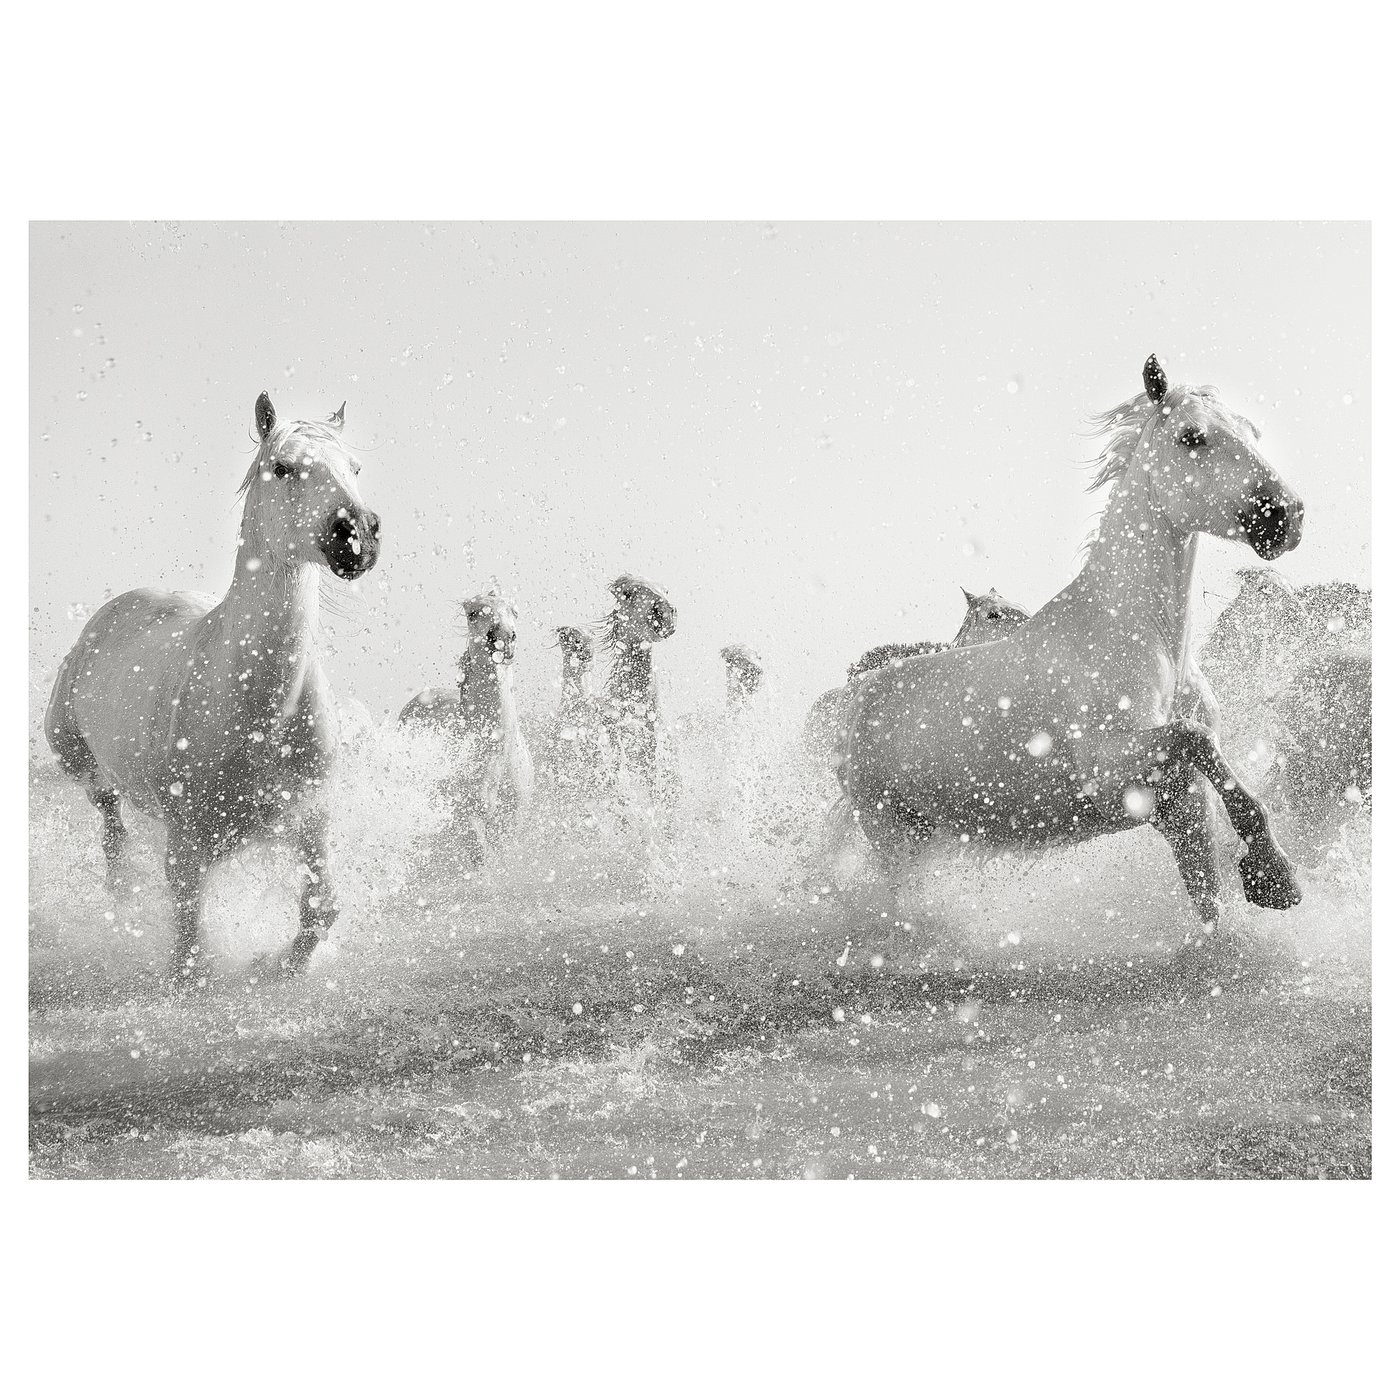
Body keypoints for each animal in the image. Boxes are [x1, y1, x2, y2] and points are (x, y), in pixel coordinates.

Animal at [45, 393, 382, 982]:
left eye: (355, 469)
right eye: (282, 467)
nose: (357, 533)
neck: (261, 707)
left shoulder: (311, 817)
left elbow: (321, 906)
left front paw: (281, 964)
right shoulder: (186, 842)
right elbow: (187, 940)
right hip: (78, 762)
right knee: (109, 817)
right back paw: (121, 891)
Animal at [399, 588, 534, 864]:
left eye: (514, 611)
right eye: (473, 613)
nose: (504, 638)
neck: (499, 752)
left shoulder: (513, 822)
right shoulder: (470, 818)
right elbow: (483, 859)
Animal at [840, 354, 1305, 930]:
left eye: (1253, 431)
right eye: (1191, 436)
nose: (1285, 515)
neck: (1144, 640)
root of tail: (855, 699)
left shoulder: (1181, 806)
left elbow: (1211, 886)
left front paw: (1269, 878)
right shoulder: (1114, 778)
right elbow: (1194, 737)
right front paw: (1273, 875)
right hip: (893, 839)